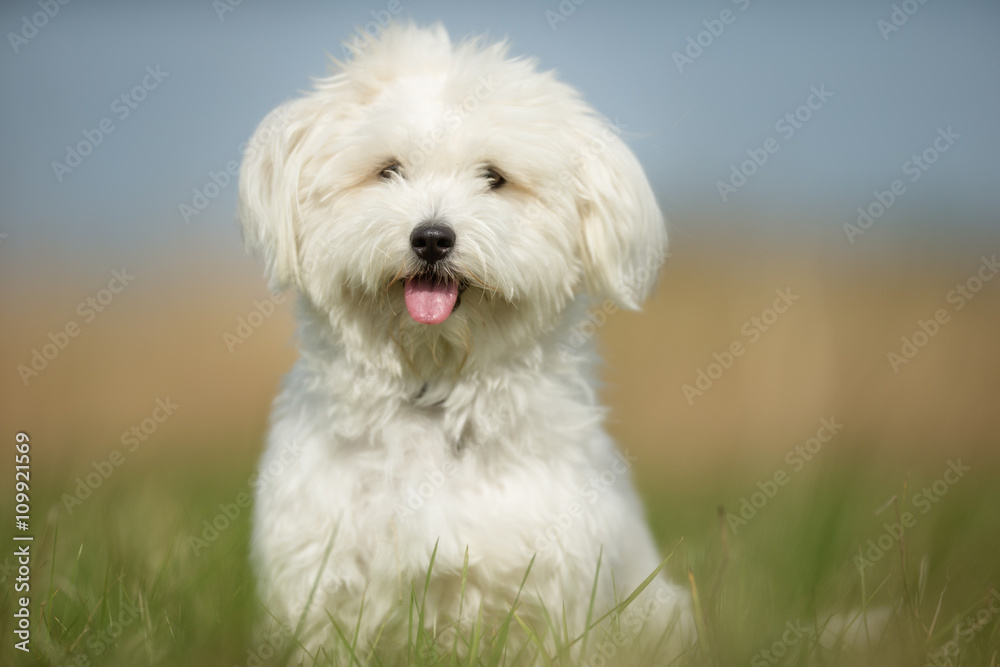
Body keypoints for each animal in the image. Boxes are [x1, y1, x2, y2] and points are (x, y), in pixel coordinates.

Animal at [238, 23, 692, 664]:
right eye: (389, 170)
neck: (434, 388)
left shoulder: (546, 588)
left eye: (494, 177)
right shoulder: (321, 578)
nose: (432, 237)